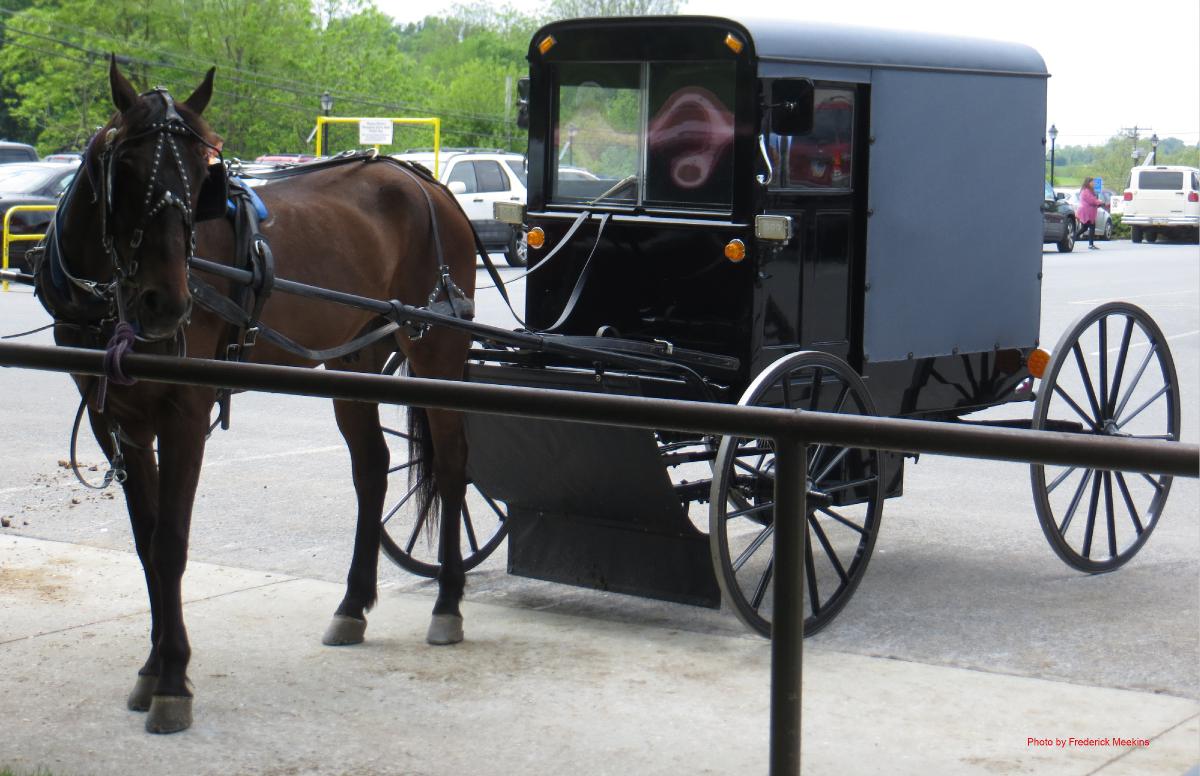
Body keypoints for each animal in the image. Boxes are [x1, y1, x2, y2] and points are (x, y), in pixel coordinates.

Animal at [34, 59, 472, 734]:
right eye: (126, 167)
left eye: (201, 177)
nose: (166, 303)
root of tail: (426, 182)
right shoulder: (117, 418)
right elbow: (145, 542)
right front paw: (151, 668)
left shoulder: (184, 412)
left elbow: (171, 544)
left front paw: (173, 682)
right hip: (353, 359)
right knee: (373, 468)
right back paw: (353, 605)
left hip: (437, 352)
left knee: (450, 467)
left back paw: (448, 601)